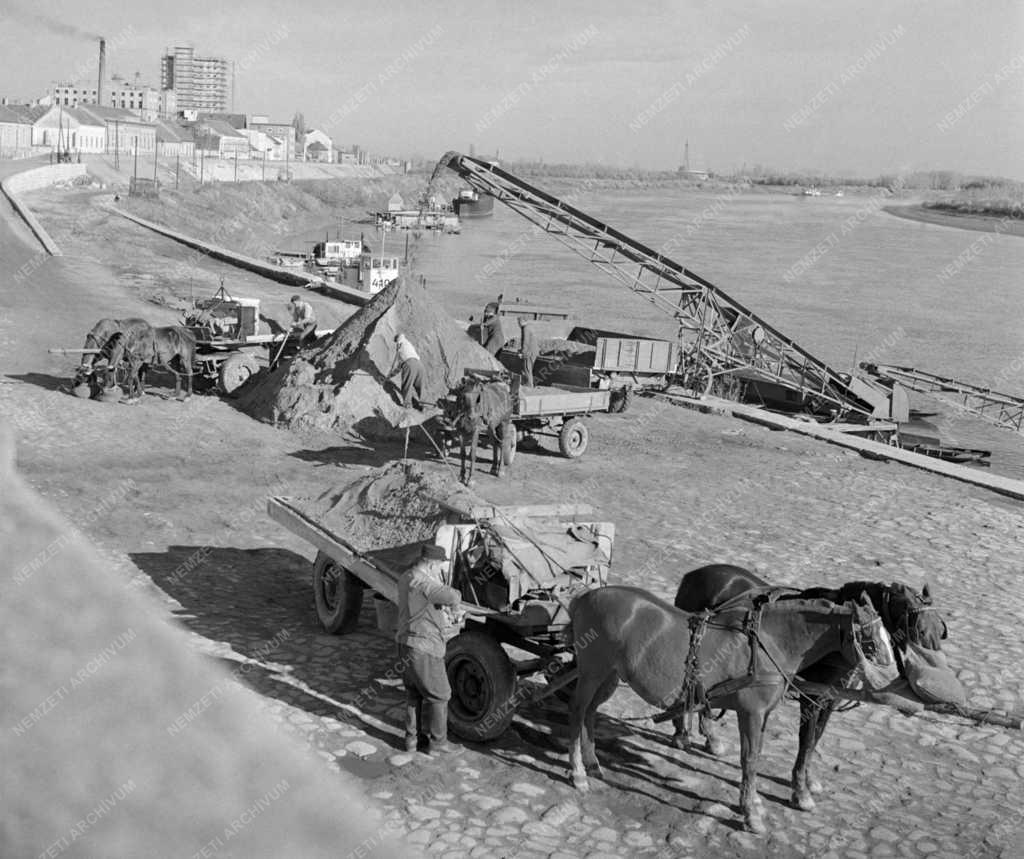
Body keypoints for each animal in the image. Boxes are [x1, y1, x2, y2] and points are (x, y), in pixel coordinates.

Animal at [565, 585, 884, 831]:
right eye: (869, 641)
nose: (885, 680)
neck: (767, 643)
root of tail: (584, 596)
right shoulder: (751, 712)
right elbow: (750, 759)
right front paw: (751, 814)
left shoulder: (762, 714)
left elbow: (754, 756)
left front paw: (753, 801)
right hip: (592, 671)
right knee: (577, 713)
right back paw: (578, 773)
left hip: (610, 675)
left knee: (590, 713)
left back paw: (592, 763)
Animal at [671, 565, 942, 814]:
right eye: (918, 627)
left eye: (940, 630)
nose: (934, 669)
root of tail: (693, 575)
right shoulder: (813, 698)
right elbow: (807, 739)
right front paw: (800, 793)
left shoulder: (830, 700)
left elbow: (815, 739)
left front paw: (808, 781)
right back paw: (682, 733)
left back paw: (710, 737)